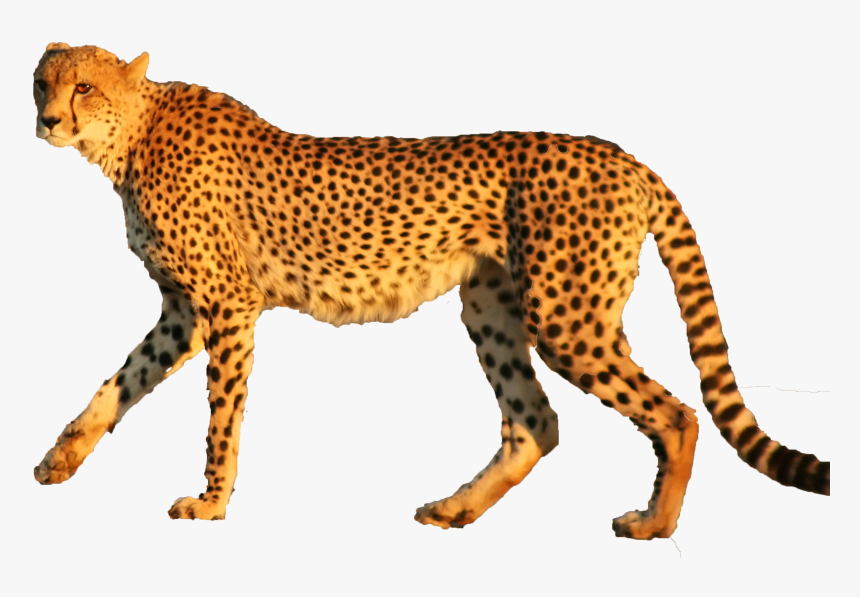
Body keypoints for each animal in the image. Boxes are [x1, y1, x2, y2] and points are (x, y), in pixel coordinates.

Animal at [32, 43, 829, 539]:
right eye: (43, 82)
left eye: (84, 87)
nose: (46, 119)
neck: (132, 134)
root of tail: (624, 155)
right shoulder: (183, 312)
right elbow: (118, 384)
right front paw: (60, 458)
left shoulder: (226, 306)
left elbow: (221, 416)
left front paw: (211, 501)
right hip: (491, 306)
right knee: (535, 422)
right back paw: (455, 508)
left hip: (566, 317)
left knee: (677, 412)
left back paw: (654, 524)